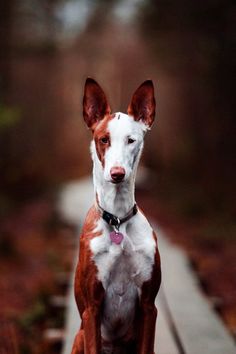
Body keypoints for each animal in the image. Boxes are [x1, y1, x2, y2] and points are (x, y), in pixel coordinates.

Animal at [71, 79, 161, 352]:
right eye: (103, 139)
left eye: (131, 140)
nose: (117, 173)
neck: (118, 219)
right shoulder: (91, 307)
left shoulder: (149, 306)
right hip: (79, 336)